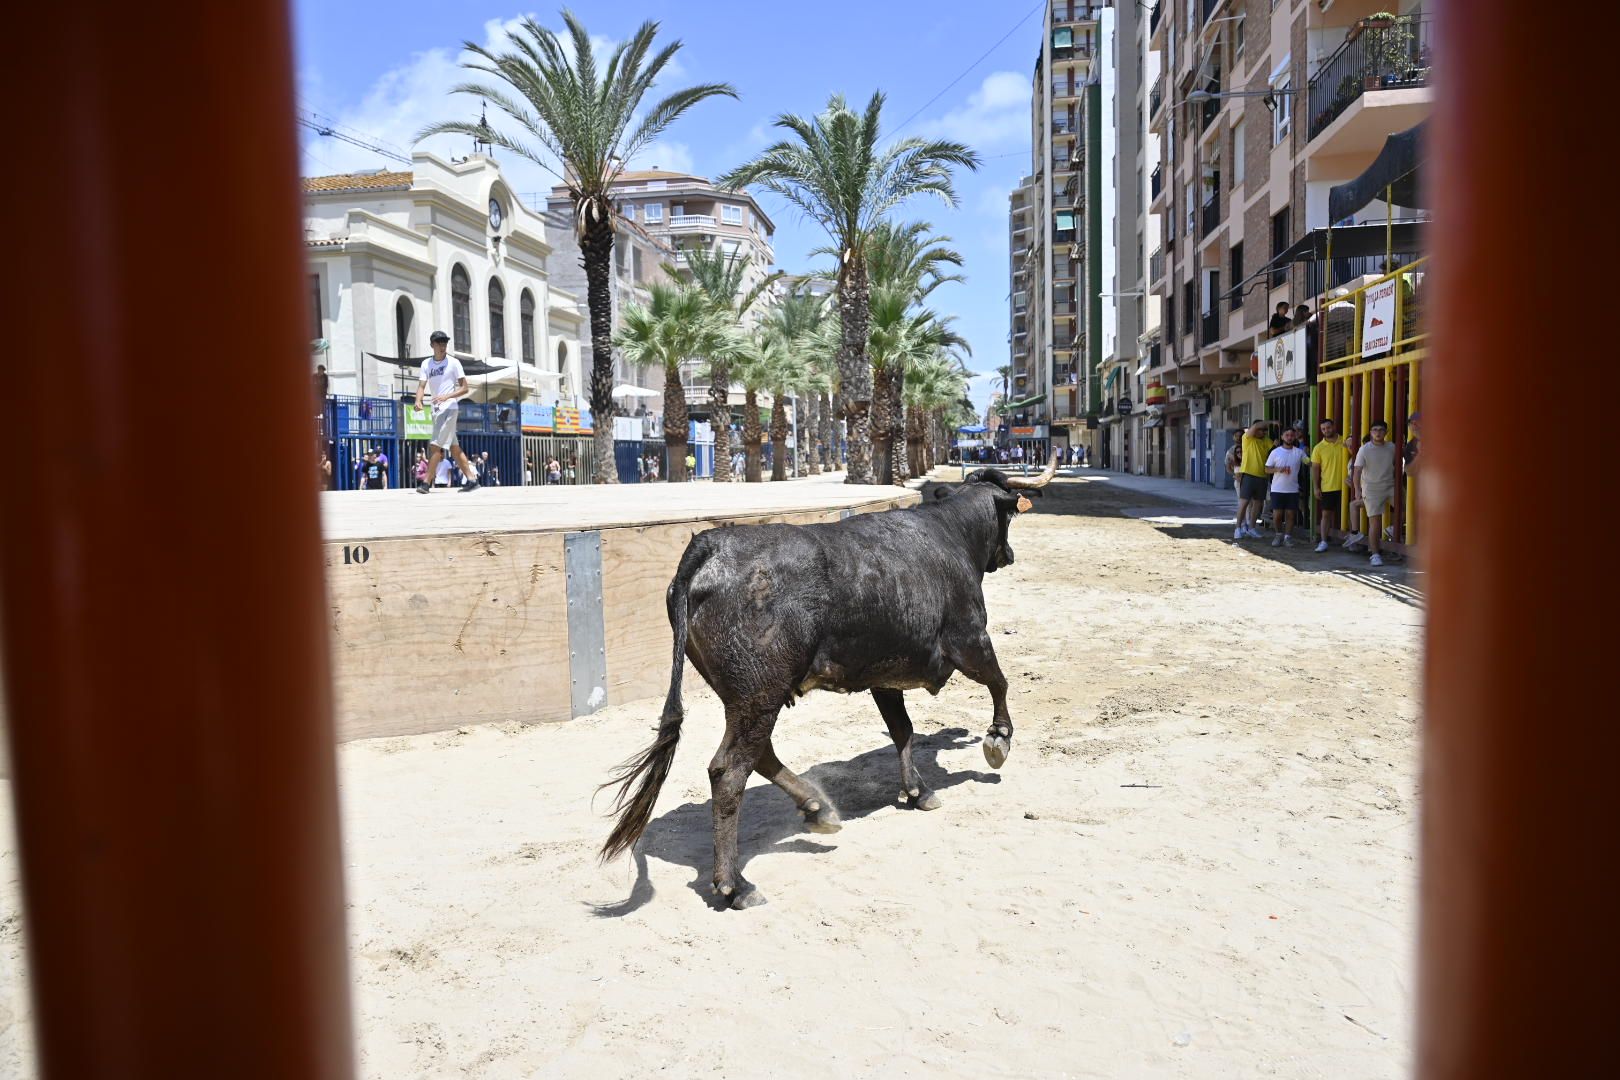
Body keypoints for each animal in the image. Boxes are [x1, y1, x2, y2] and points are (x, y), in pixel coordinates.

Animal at [602, 459, 1056, 906]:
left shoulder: (885, 673)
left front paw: (917, 791)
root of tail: (710, 546)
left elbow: (903, 731)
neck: (951, 532)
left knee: (760, 755)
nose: (1008, 555)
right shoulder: (970, 641)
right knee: (729, 772)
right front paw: (998, 739)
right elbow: (999, 683)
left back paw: (817, 808)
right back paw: (735, 884)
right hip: (759, 695)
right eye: (1011, 518)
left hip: (750, 699)